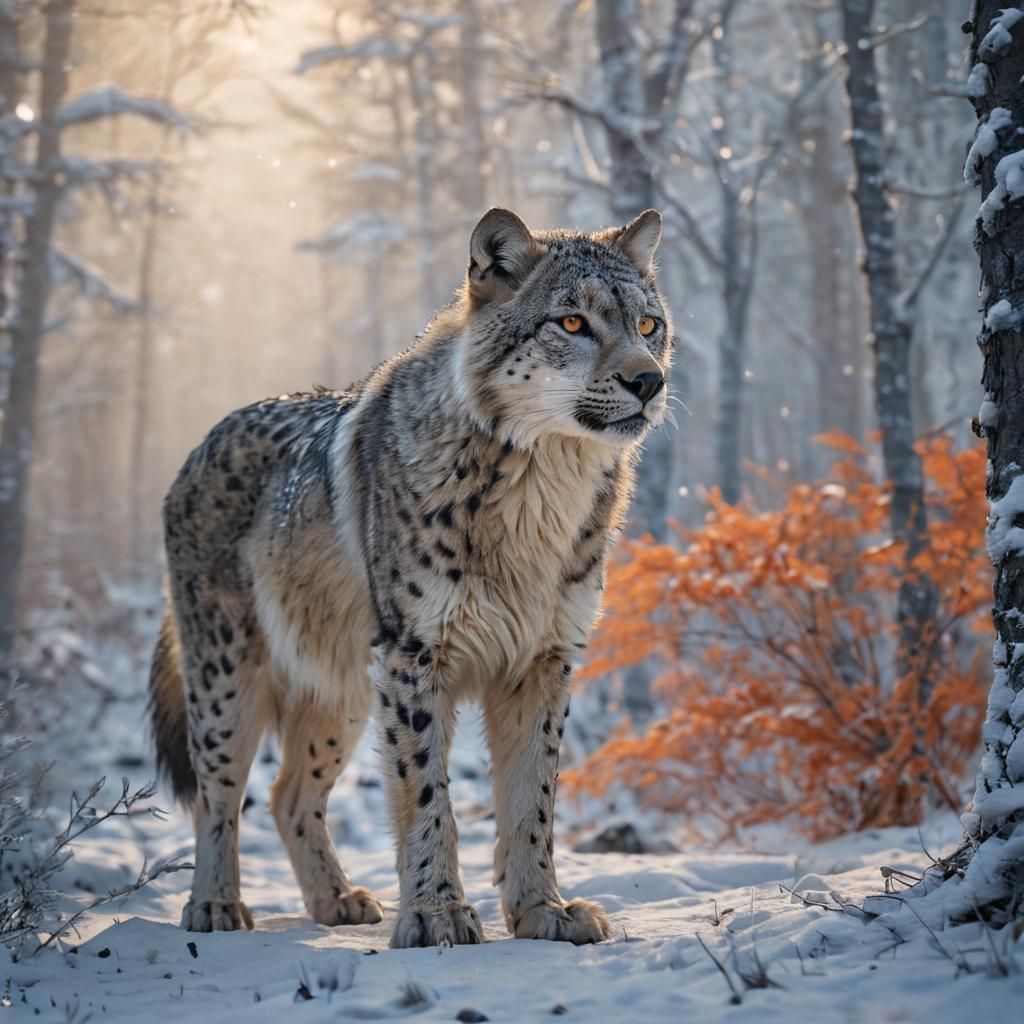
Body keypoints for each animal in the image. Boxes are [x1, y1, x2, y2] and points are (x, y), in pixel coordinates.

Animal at [149, 207, 672, 947]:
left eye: (648, 326)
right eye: (572, 322)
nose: (649, 382)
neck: (536, 505)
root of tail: (200, 444)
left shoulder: (545, 661)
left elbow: (533, 802)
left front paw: (543, 911)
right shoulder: (418, 659)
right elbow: (429, 796)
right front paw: (436, 915)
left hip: (342, 698)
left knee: (288, 796)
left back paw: (337, 901)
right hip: (231, 687)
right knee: (219, 795)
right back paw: (216, 907)